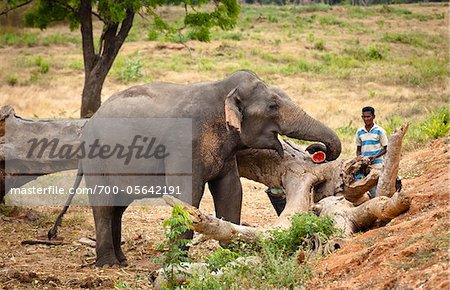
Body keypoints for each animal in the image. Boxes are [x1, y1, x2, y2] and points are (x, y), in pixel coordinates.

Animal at [47, 71, 342, 268]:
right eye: (272, 106)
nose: (317, 152)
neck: (222, 90)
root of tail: (89, 122)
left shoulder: (226, 153)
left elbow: (231, 191)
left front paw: (231, 254)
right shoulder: (183, 145)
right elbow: (187, 196)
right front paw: (176, 262)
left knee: (117, 207)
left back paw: (122, 260)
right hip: (97, 161)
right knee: (104, 207)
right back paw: (109, 264)